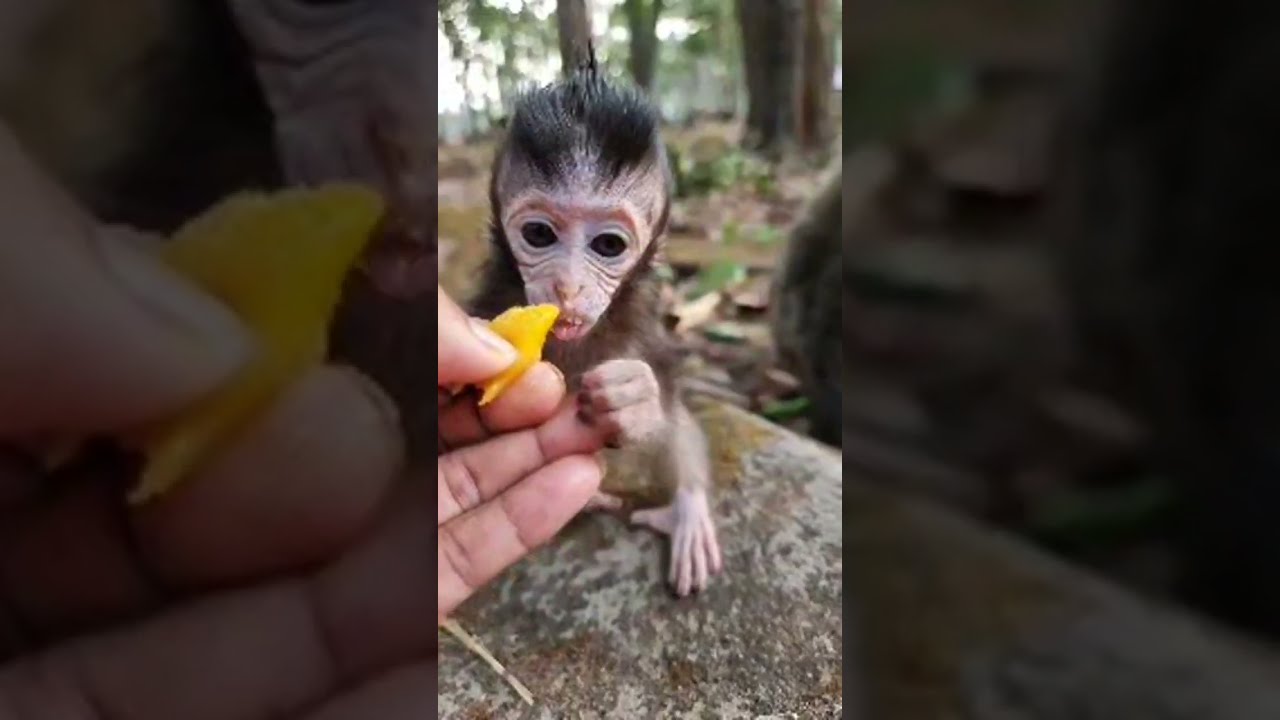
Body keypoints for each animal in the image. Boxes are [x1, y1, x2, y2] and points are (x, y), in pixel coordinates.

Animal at [465, 62, 724, 597]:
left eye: (608, 245)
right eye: (539, 234)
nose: (567, 285)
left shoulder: (644, 333)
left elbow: (672, 414)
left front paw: (635, 403)